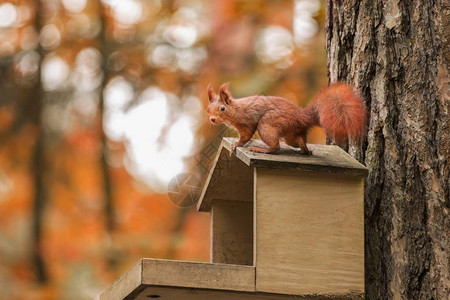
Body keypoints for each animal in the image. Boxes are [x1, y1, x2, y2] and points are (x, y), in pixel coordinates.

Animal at [206, 83, 368, 156]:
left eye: (222, 108)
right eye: (208, 110)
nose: (212, 119)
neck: (234, 110)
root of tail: (301, 117)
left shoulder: (247, 121)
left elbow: (246, 136)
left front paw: (236, 145)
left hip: (267, 124)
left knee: (276, 146)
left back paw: (262, 149)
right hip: (291, 135)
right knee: (298, 141)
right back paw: (306, 150)